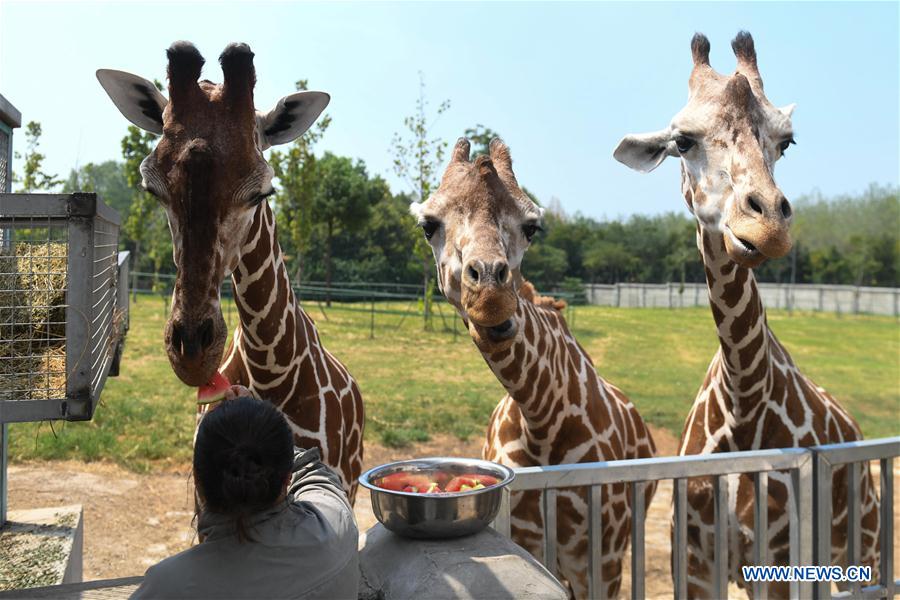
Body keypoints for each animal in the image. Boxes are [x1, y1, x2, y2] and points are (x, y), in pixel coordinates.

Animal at [412, 138, 656, 596]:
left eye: (531, 227)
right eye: (428, 225)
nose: (491, 297)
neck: (541, 417)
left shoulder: (602, 559)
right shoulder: (529, 541)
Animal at [612, 31, 880, 596]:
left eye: (787, 141)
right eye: (682, 141)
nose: (768, 227)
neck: (743, 401)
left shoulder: (777, 560)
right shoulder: (692, 561)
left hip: (859, 543)